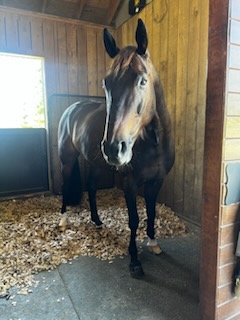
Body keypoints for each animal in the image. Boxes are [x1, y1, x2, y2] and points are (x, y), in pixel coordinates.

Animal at [57, 18, 174, 278]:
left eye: (142, 80)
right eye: (106, 83)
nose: (114, 148)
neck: (153, 144)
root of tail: (72, 109)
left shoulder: (157, 180)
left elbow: (152, 211)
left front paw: (153, 242)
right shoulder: (131, 184)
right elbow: (134, 220)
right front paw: (134, 261)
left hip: (94, 163)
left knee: (91, 188)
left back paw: (97, 221)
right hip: (67, 161)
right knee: (66, 185)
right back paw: (63, 220)